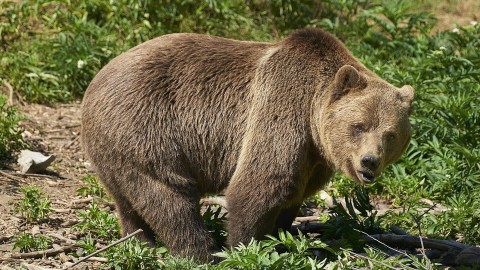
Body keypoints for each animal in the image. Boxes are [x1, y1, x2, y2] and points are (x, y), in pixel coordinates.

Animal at [80, 28, 414, 260]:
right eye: (359, 126)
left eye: (390, 135)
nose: (369, 161)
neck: (313, 119)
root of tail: (95, 81)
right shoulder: (281, 109)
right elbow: (259, 184)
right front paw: (243, 246)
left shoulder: (313, 158)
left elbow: (293, 195)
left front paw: (280, 237)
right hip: (146, 127)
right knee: (168, 193)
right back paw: (201, 252)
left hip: (113, 148)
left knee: (127, 198)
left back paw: (139, 241)